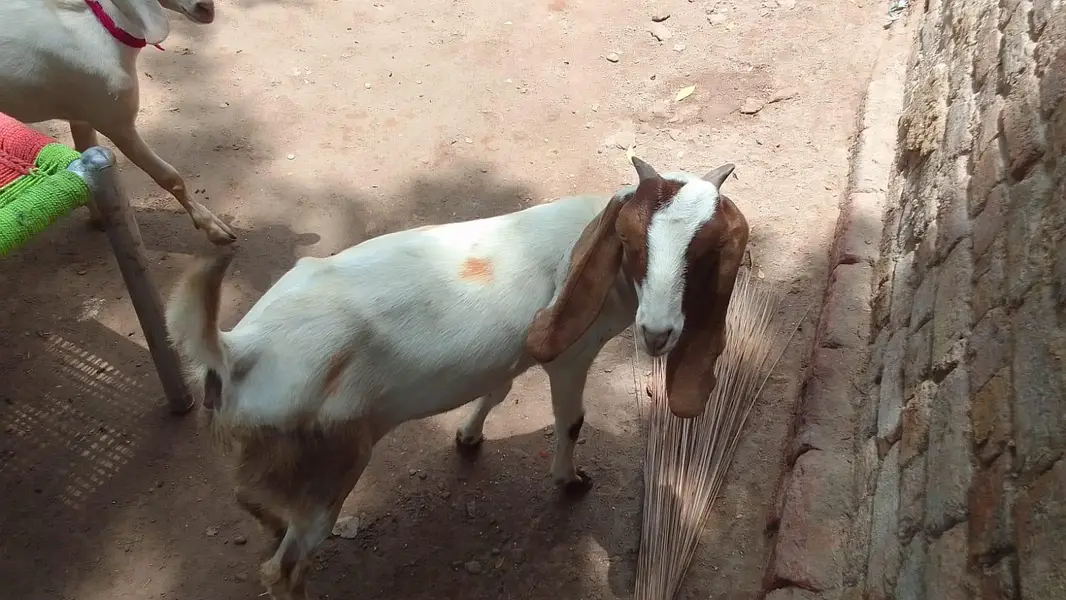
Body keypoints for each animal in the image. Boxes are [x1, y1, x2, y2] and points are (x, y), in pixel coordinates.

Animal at [0, 0, 236, 245]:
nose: (206, 8)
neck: (104, 25)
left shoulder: (83, 118)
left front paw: (98, 218)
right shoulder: (116, 123)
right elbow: (169, 176)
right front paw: (214, 228)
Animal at [164, 156, 749, 599]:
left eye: (703, 253)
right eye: (632, 242)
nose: (658, 333)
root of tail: (237, 350)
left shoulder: (509, 355)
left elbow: (498, 388)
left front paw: (469, 436)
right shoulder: (572, 357)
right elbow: (572, 421)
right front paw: (569, 480)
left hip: (276, 456)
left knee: (249, 498)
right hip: (331, 473)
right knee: (284, 567)